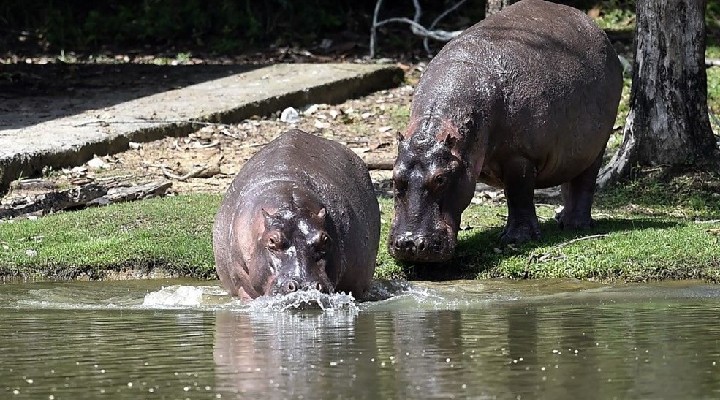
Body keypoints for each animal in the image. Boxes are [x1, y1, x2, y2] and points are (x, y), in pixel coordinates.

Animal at [388, 0, 624, 262]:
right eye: (394, 178)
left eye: (440, 178)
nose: (410, 244)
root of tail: (594, 26)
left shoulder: (519, 156)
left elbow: (518, 194)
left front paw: (517, 239)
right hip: (573, 149)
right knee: (569, 178)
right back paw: (561, 219)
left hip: (598, 144)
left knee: (585, 181)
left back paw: (576, 225)